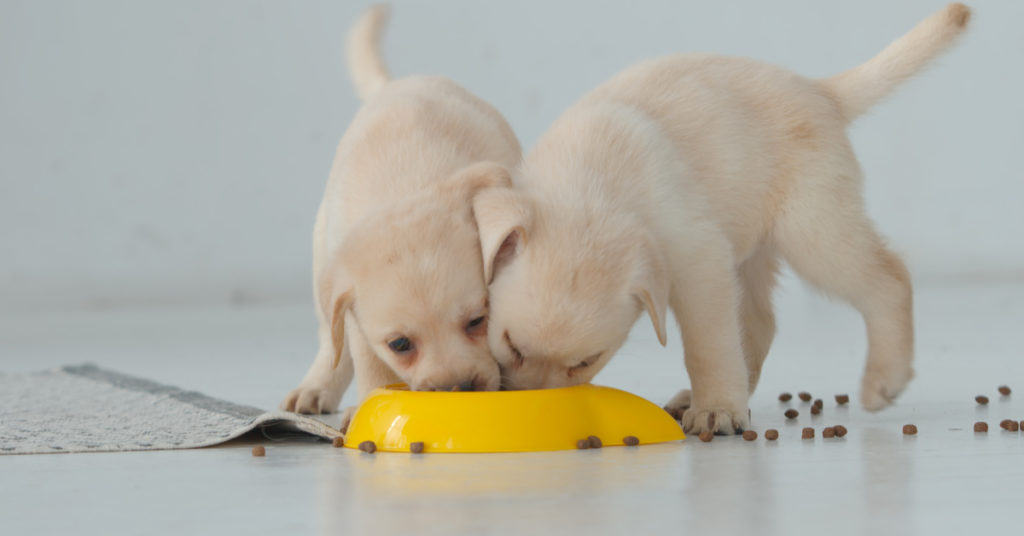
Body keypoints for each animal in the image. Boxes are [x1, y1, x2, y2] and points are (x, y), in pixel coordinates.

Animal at [280, 5, 520, 420]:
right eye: (400, 345)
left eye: (478, 321)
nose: (459, 389)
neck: (409, 189)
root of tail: (393, 84)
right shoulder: (357, 319)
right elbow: (369, 364)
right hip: (322, 261)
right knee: (331, 343)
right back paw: (314, 387)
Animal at [471, 4, 966, 436]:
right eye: (512, 346)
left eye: (586, 361)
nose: (534, 413)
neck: (591, 187)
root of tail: (819, 90)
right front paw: (718, 403)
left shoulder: (698, 262)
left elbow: (709, 345)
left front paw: (718, 410)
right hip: (751, 249)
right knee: (761, 323)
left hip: (814, 231)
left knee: (887, 278)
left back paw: (884, 378)